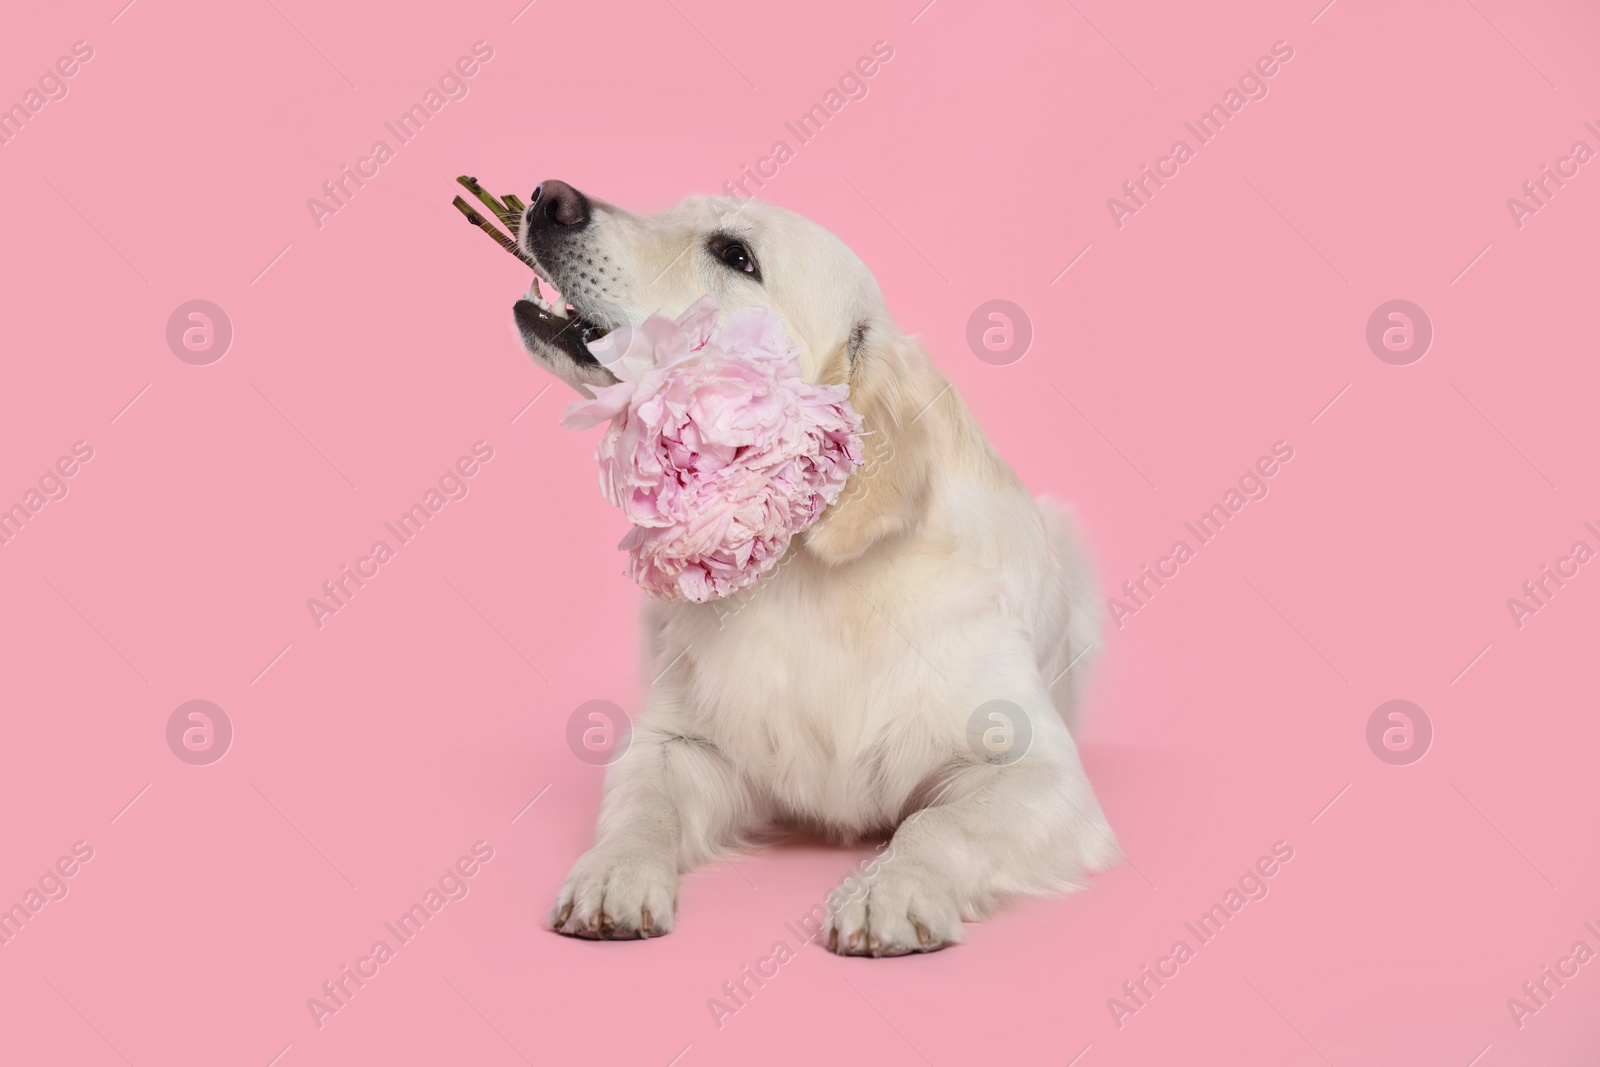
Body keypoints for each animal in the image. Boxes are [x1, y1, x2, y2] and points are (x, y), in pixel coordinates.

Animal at [512, 179, 1113, 953]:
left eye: (735, 254)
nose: (549, 196)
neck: (806, 575)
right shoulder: (676, 740)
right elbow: (642, 802)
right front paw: (614, 871)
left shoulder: (1037, 771)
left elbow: (939, 822)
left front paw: (892, 887)